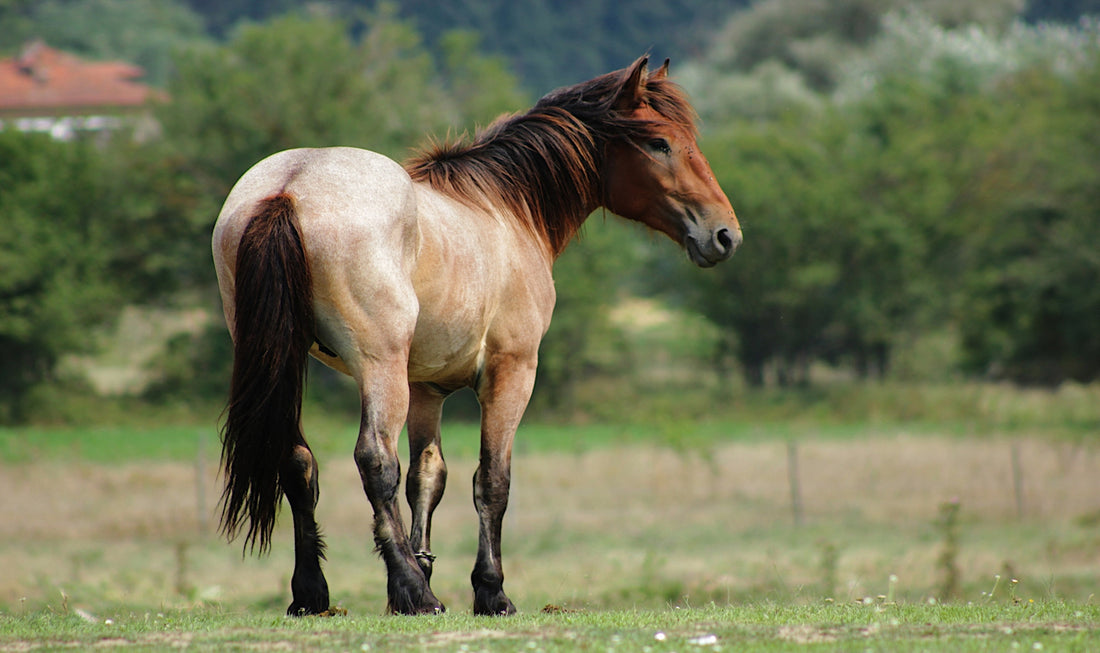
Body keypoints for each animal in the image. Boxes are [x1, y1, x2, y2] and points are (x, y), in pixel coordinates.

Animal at [210, 56, 743, 615]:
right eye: (659, 143)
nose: (725, 234)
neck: (505, 210)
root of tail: (289, 187)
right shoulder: (512, 372)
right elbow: (491, 481)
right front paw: (488, 590)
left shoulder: (426, 387)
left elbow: (427, 478)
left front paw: (419, 574)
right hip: (379, 365)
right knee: (375, 460)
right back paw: (414, 589)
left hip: (287, 360)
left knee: (298, 460)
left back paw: (315, 592)